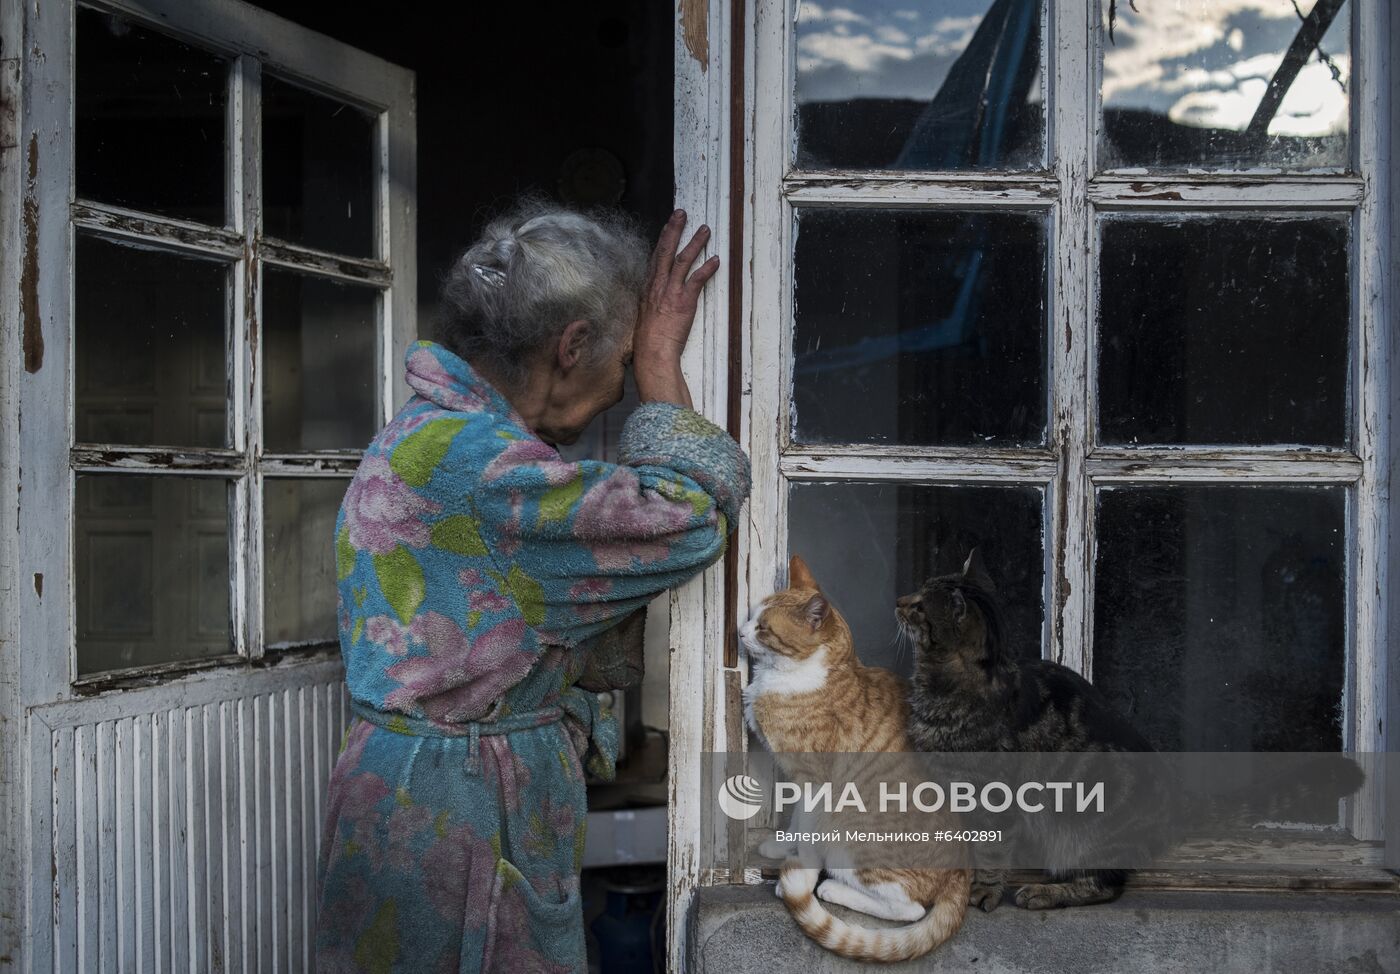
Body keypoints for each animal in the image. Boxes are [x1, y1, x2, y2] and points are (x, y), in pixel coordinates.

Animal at [739, 559, 968, 962]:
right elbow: (797, 823)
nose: (739, 631)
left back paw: (831, 890)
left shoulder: (814, 781)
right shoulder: (801, 783)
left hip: (847, 835)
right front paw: (783, 847)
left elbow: (807, 833)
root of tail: (962, 872)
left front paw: (800, 873)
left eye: (763, 628)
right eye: (752, 617)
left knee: (910, 909)